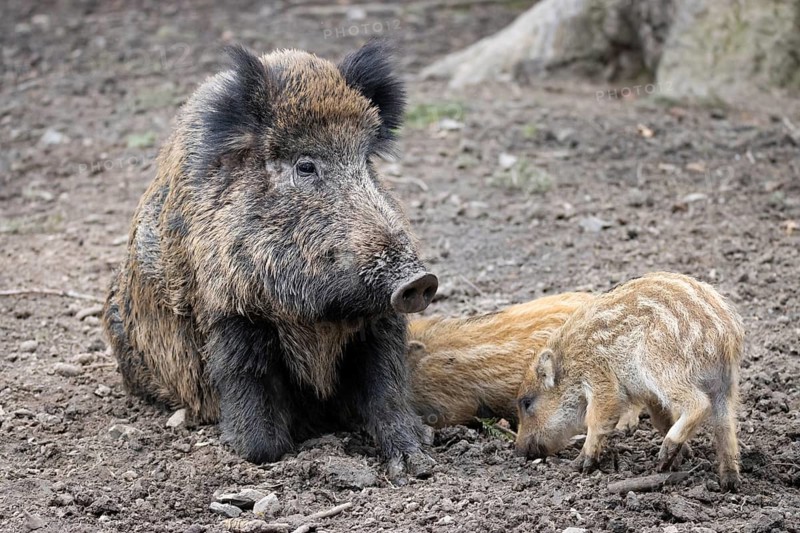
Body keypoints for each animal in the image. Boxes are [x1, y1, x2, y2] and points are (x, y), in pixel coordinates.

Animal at [102, 41, 438, 480]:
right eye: (305, 166)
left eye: (366, 162)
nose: (419, 280)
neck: (319, 315)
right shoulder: (229, 315)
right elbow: (254, 409)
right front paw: (273, 450)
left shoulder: (379, 324)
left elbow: (387, 391)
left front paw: (419, 460)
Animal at [515, 272, 744, 491]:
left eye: (527, 403)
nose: (518, 450)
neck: (569, 364)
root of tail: (724, 335)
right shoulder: (649, 395)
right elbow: (661, 421)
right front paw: (682, 458)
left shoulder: (600, 378)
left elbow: (597, 418)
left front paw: (578, 465)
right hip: (724, 385)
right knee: (725, 427)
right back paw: (728, 482)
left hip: (661, 367)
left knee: (699, 403)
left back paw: (664, 455)